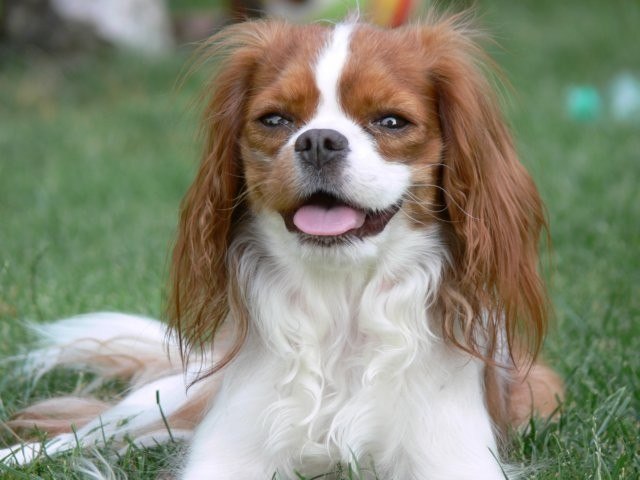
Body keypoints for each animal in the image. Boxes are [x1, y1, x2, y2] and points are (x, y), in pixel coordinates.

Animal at [1, 13, 564, 479]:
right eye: (274, 120)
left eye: (391, 121)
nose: (319, 141)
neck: (341, 305)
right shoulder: (225, 456)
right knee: (93, 428)